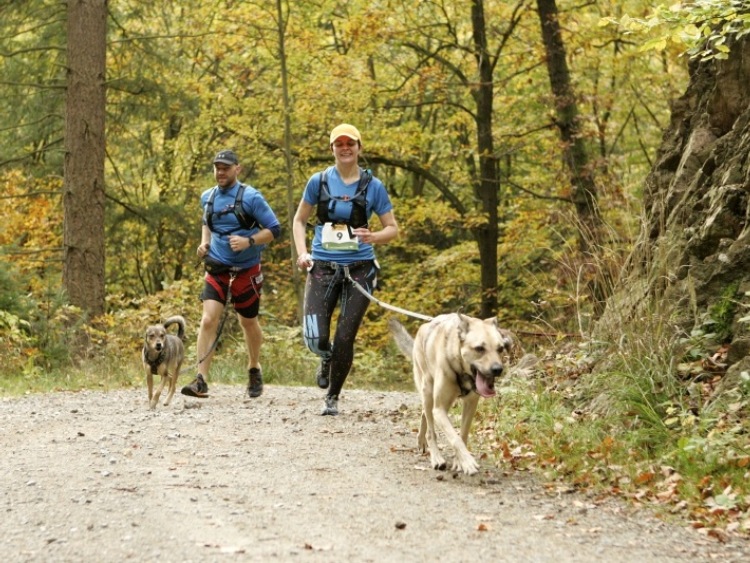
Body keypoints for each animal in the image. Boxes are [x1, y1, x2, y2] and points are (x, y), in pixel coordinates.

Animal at [388, 312, 516, 476]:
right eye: (479, 348)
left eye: (500, 349)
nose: (497, 369)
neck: (460, 368)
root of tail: (422, 328)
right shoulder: (439, 409)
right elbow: (454, 438)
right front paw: (467, 462)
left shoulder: (470, 405)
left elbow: (462, 435)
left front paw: (459, 462)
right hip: (428, 392)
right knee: (430, 429)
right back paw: (436, 457)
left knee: (424, 413)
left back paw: (422, 440)